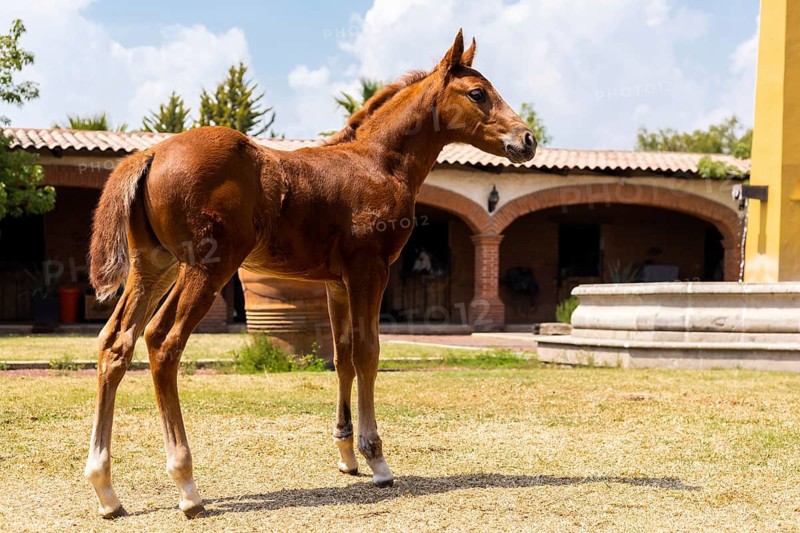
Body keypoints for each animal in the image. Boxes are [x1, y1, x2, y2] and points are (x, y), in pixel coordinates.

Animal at [84, 29, 536, 519]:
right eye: (477, 93)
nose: (528, 139)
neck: (380, 162)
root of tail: (151, 152)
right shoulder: (369, 270)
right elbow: (368, 354)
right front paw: (376, 459)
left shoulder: (336, 283)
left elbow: (342, 356)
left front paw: (346, 455)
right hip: (206, 267)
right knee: (162, 343)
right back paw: (187, 486)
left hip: (154, 266)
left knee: (116, 342)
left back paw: (106, 490)